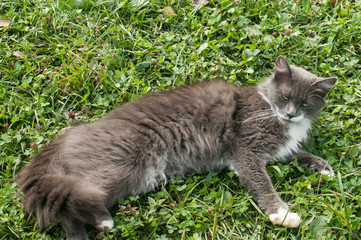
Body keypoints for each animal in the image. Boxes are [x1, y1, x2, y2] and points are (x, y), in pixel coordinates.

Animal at [17, 55, 338, 238]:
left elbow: (298, 153)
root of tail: (68, 135)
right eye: (285, 97)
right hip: (118, 169)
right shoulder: (245, 150)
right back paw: (101, 223)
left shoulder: (279, 149)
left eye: (305, 104)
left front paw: (324, 167)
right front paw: (281, 214)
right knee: (67, 203)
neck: (268, 107)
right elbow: (263, 183)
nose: (291, 113)